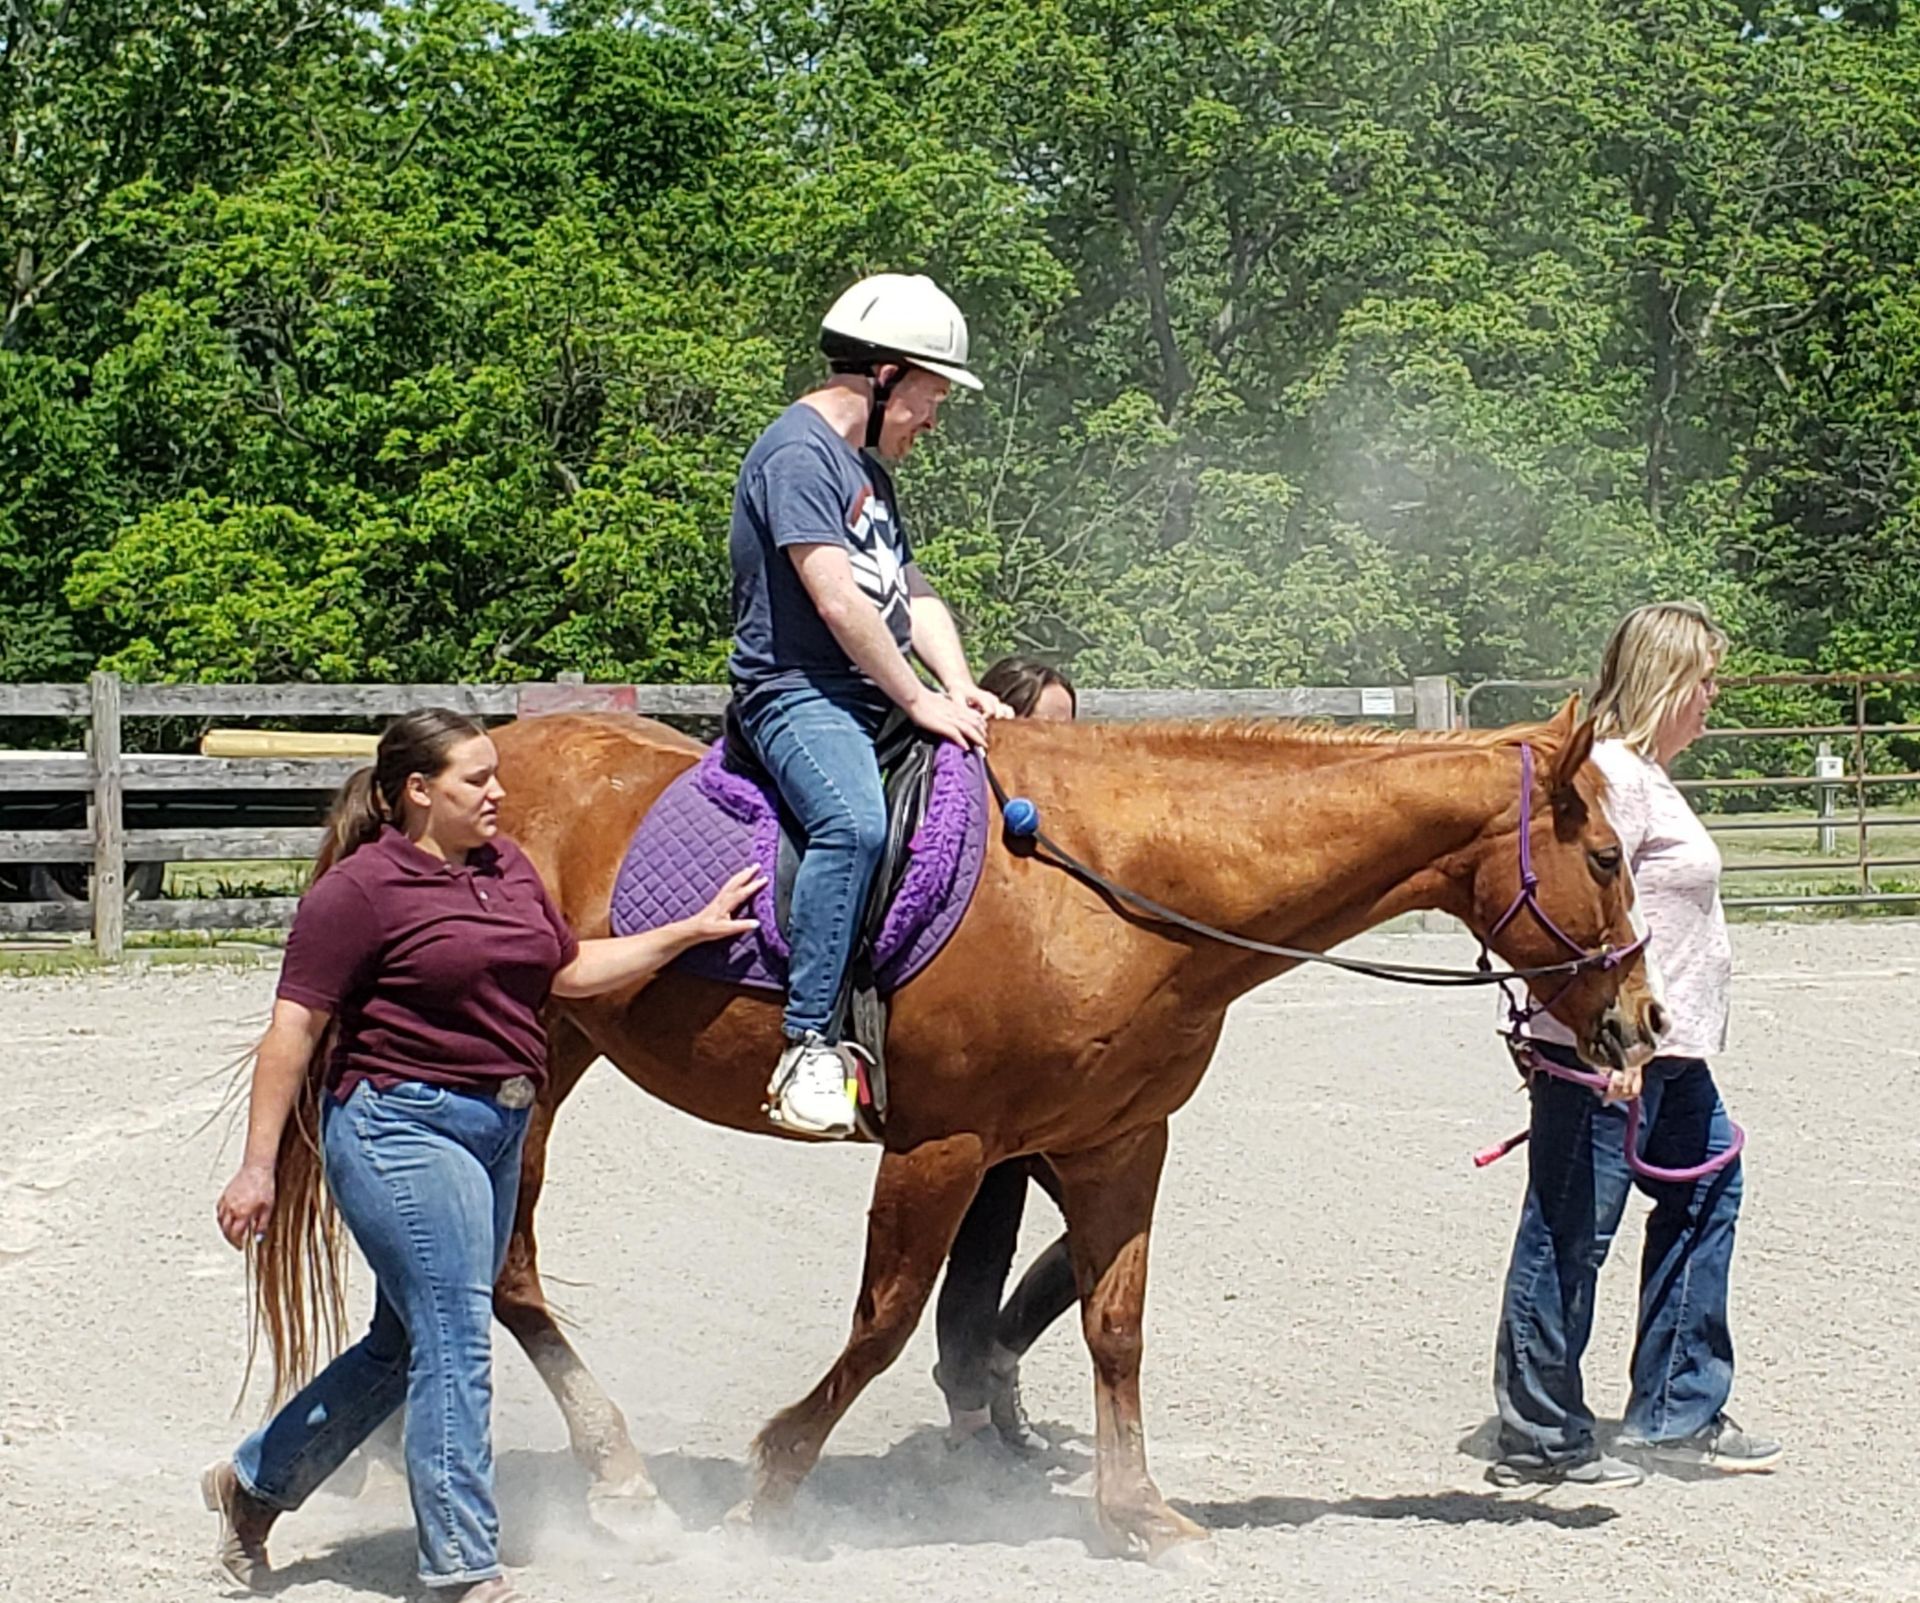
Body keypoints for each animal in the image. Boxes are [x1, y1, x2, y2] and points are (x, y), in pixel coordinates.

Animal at [259, 699, 1663, 1564]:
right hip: (531, 1070)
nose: (1642, 1020)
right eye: (1604, 853)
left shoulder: (1116, 1145)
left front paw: (1139, 1512)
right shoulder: (939, 1148)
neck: (1118, 884)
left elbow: (1113, 1327)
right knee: (503, 1271)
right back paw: (615, 1479)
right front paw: (770, 1487)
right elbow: (882, 1327)